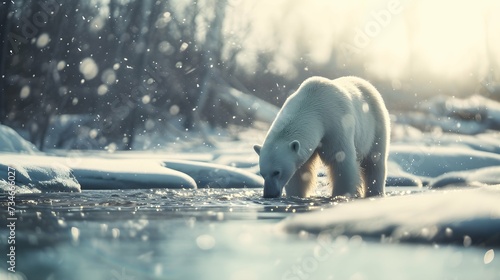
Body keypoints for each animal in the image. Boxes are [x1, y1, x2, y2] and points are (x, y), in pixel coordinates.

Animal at [254, 76, 390, 198]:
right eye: (262, 173)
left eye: (277, 172)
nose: (269, 194)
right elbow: (300, 171)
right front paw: (296, 195)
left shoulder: (336, 125)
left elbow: (342, 161)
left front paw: (341, 195)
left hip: (376, 124)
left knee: (375, 161)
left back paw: (375, 192)